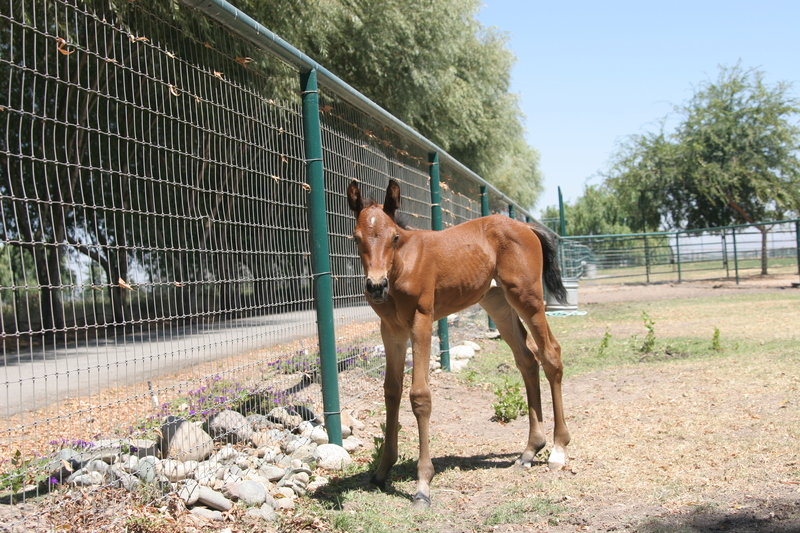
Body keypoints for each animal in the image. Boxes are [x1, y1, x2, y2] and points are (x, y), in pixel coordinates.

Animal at [347, 179, 571, 509]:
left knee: (550, 354)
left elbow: (419, 396)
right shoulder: (391, 330)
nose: (376, 286)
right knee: (527, 359)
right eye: (356, 238)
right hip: (499, 304)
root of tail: (526, 226)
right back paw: (530, 450)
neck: (403, 265)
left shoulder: (421, 321)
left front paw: (423, 485)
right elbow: (391, 391)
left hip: (527, 298)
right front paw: (381, 471)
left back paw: (557, 450)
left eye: (394, 237)